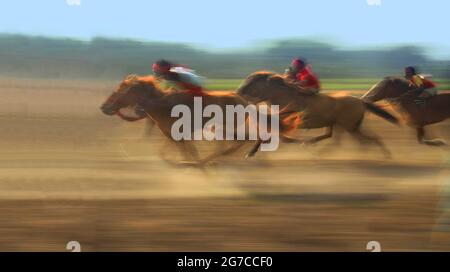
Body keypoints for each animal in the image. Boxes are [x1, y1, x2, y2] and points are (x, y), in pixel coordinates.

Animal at [100, 74, 300, 164]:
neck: (161, 104)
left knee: (247, 139)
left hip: (224, 127)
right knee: (238, 142)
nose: (104, 107)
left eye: (120, 91)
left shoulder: (180, 135)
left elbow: (188, 155)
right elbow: (167, 154)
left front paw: (197, 167)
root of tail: (244, 100)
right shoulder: (173, 136)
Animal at [237, 71, 400, 158]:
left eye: (251, 82)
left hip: (349, 127)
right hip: (342, 125)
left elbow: (269, 137)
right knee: (336, 138)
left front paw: (249, 153)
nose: (238, 92)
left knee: (365, 141)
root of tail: (361, 101)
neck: (286, 98)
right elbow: (280, 138)